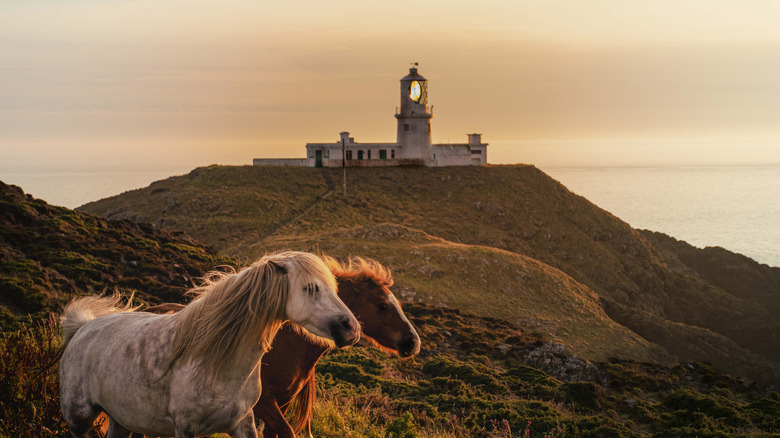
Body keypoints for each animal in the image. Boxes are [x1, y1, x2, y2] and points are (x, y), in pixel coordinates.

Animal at [58, 251, 361, 438]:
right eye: (311, 288)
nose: (351, 328)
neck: (218, 363)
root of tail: (83, 327)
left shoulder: (243, 424)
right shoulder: (186, 428)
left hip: (122, 420)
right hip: (79, 419)